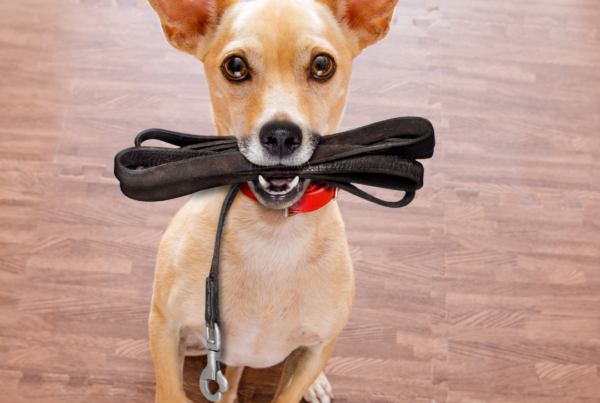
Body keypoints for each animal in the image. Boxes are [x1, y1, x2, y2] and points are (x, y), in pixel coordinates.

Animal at [146, 0, 400, 402]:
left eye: (322, 65)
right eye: (235, 67)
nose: (281, 135)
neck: (271, 236)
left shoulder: (317, 349)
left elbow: (290, 391)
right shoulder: (165, 325)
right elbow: (170, 390)